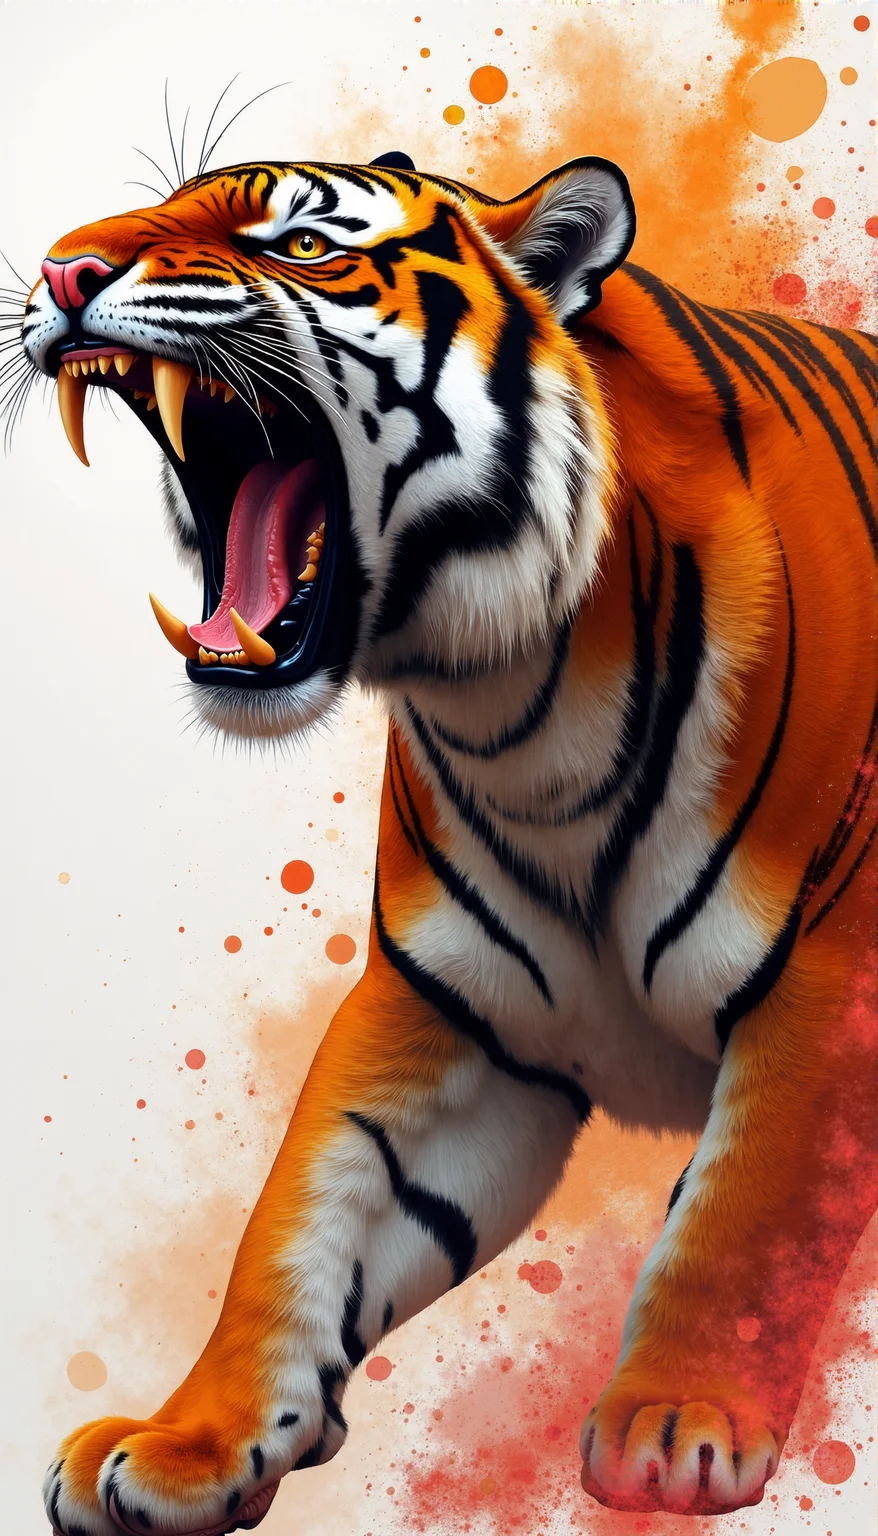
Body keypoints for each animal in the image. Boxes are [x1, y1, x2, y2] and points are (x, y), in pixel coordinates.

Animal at [16, 149, 876, 1532]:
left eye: (302, 242)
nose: (59, 270)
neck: (525, 711)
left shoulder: (827, 971)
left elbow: (746, 1205)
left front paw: (675, 1422)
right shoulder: (446, 1009)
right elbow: (295, 1219)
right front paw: (180, 1443)